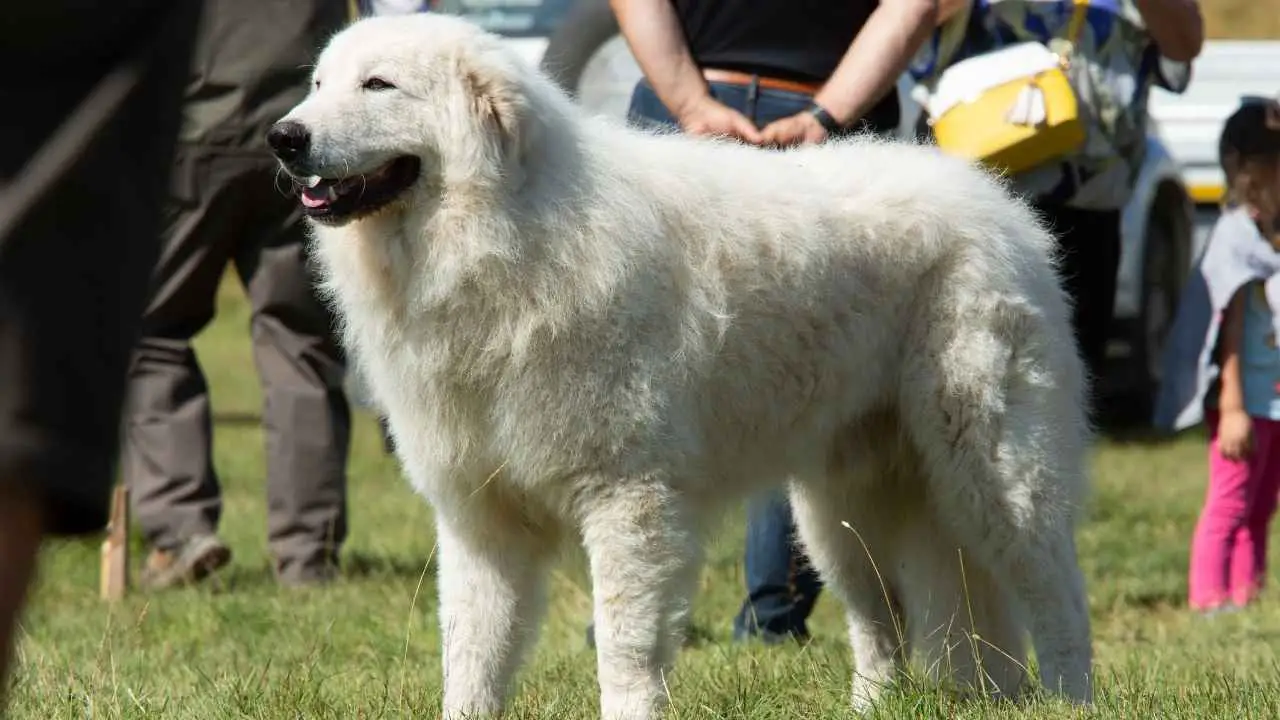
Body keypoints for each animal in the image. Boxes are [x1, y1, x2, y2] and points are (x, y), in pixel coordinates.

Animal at [267, 12, 1090, 717]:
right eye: (319, 84)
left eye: (378, 85)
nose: (282, 137)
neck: (500, 236)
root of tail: (1002, 207)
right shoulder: (481, 515)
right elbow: (472, 652)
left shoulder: (629, 499)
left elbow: (623, 648)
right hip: (840, 511)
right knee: (882, 620)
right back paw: (877, 706)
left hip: (992, 468)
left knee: (1053, 589)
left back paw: (1069, 698)